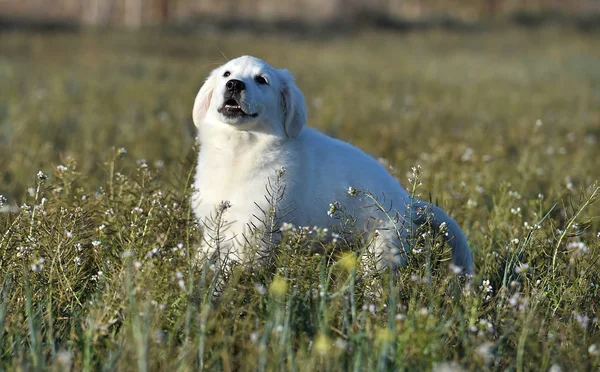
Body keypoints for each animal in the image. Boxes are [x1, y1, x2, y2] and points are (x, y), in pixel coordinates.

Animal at [192, 55, 474, 274]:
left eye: (261, 80)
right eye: (226, 74)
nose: (233, 84)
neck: (238, 150)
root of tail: (409, 203)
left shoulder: (252, 232)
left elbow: (231, 271)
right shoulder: (213, 228)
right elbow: (202, 257)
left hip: (380, 254)